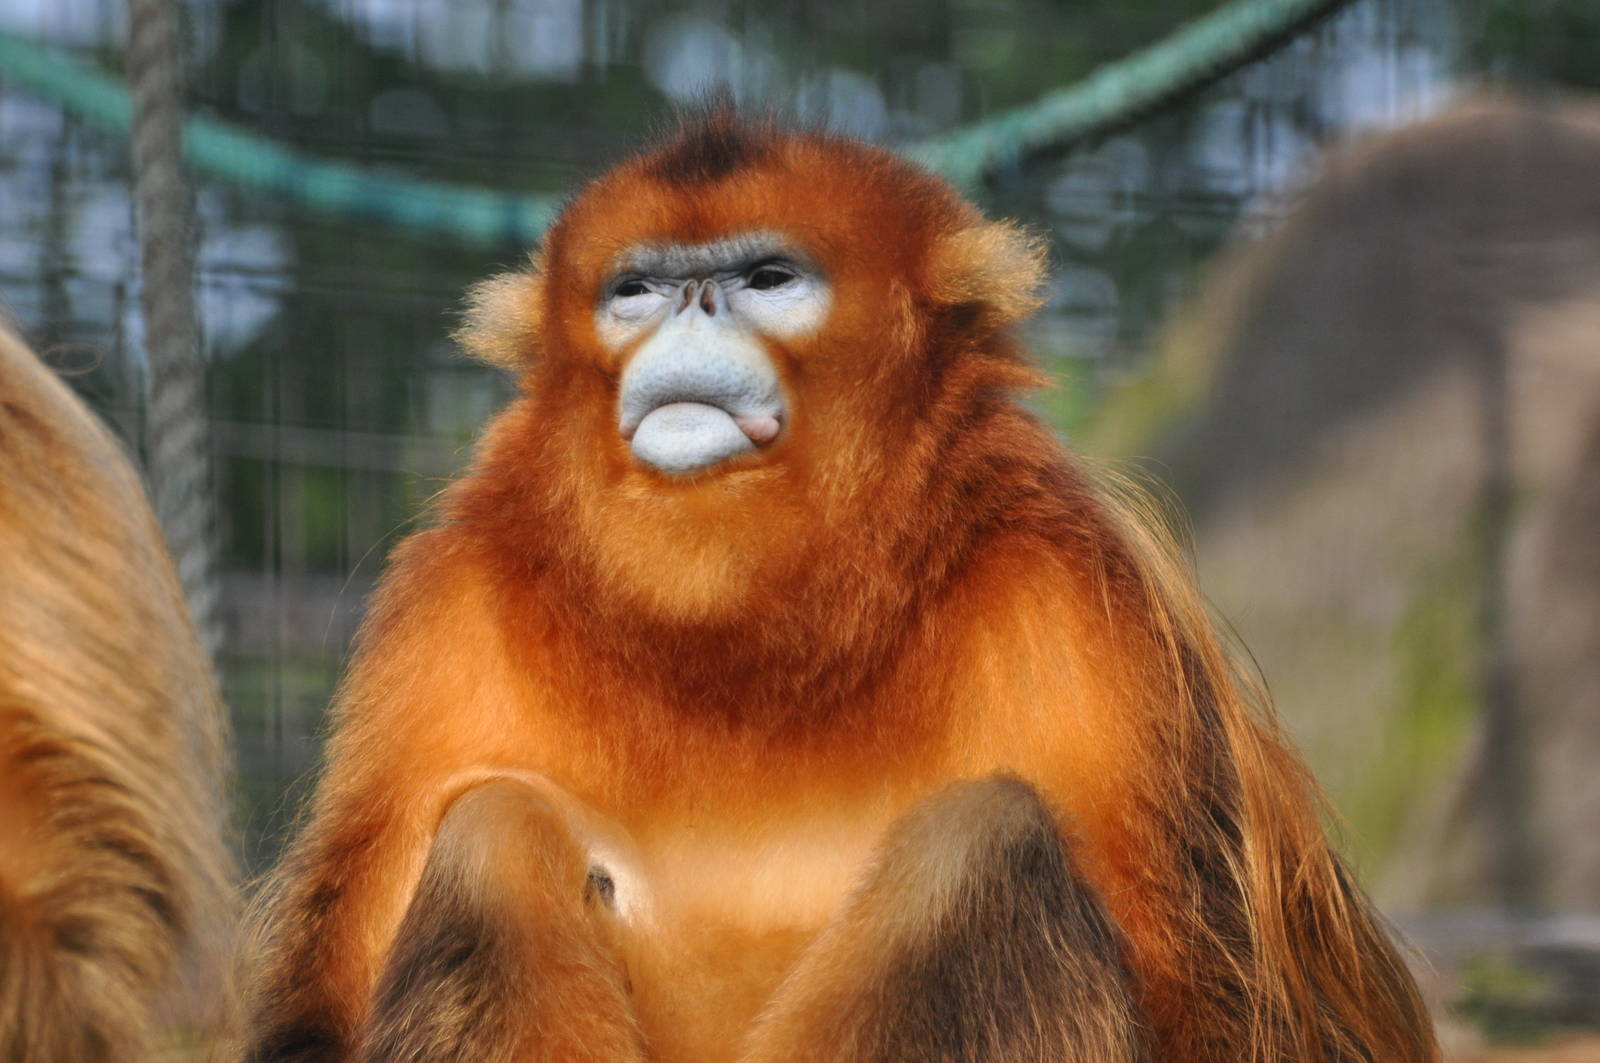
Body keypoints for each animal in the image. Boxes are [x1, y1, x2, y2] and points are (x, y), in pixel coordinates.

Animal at [243, 110, 1439, 1063]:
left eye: (769, 280)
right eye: (635, 291)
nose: (691, 307)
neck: (744, 642)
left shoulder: (1076, 589)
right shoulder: (451, 603)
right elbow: (320, 1008)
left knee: (980, 842)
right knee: (493, 835)